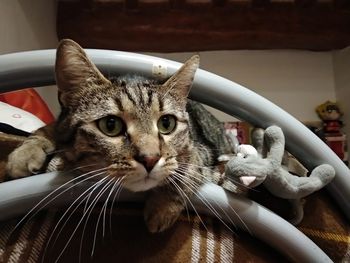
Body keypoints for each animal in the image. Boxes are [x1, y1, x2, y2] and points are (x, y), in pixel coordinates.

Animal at [6, 39, 235, 233]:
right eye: (111, 125)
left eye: (166, 124)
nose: (150, 159)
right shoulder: (61, 123)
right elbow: (47, 129)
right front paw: (25, 154)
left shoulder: (201, 150)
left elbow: (187, 168)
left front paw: (162, 208)